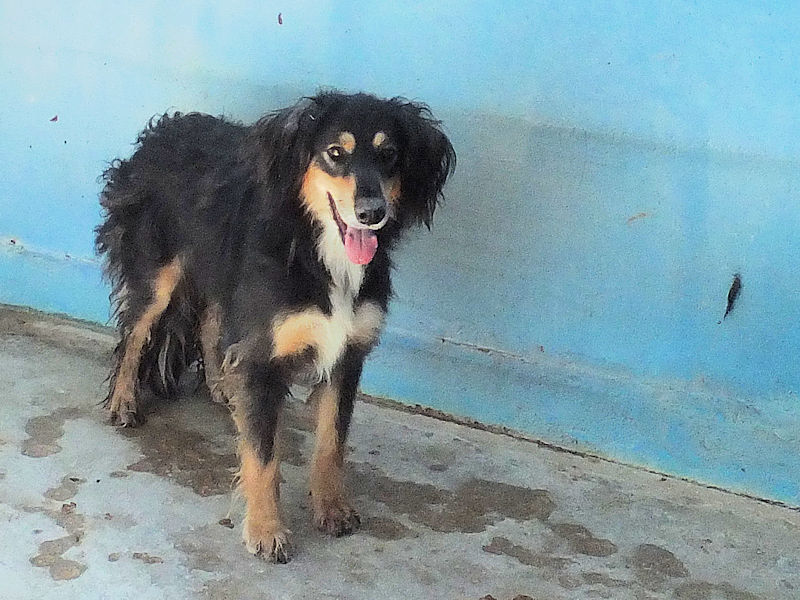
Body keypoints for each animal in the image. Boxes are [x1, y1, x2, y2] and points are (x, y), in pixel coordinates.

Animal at [95, 91, 455, 562]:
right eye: (334, 153)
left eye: (389, 154)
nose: (372, 212)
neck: (315, 248)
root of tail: (163, 130)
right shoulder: (264, 356)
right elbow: (263, 456)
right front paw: (266, 530)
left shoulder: (346, 354)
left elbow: (331, 442)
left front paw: (331, 507)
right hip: (157, 274)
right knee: (134, 334)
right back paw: (123, 401)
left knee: (210, 322)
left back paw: (222, 385)